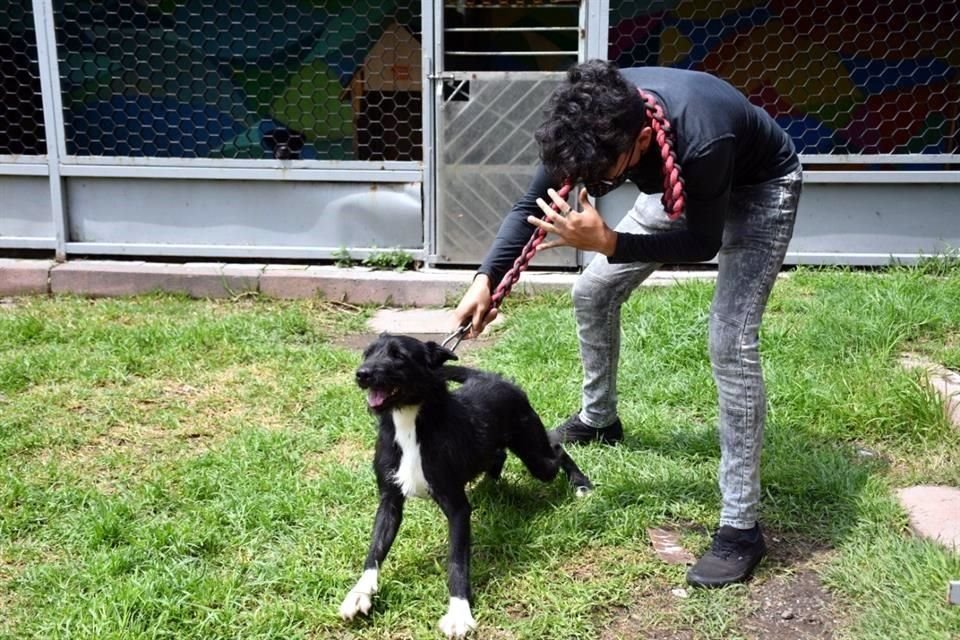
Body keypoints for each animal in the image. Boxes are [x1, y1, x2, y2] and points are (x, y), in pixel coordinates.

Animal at [338, 332, 592, 636]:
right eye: (367, 354)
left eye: (398, 355)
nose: (362, 374)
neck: (410, 421)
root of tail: (495, 378)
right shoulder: (389, 501)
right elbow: (375, 547)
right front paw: (360, 592)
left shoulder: (457, 508)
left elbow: (456, 561)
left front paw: (459, 612)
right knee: (500, 454)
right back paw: (491, 485)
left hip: (537, 458)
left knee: (557, 447)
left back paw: (580, 484)